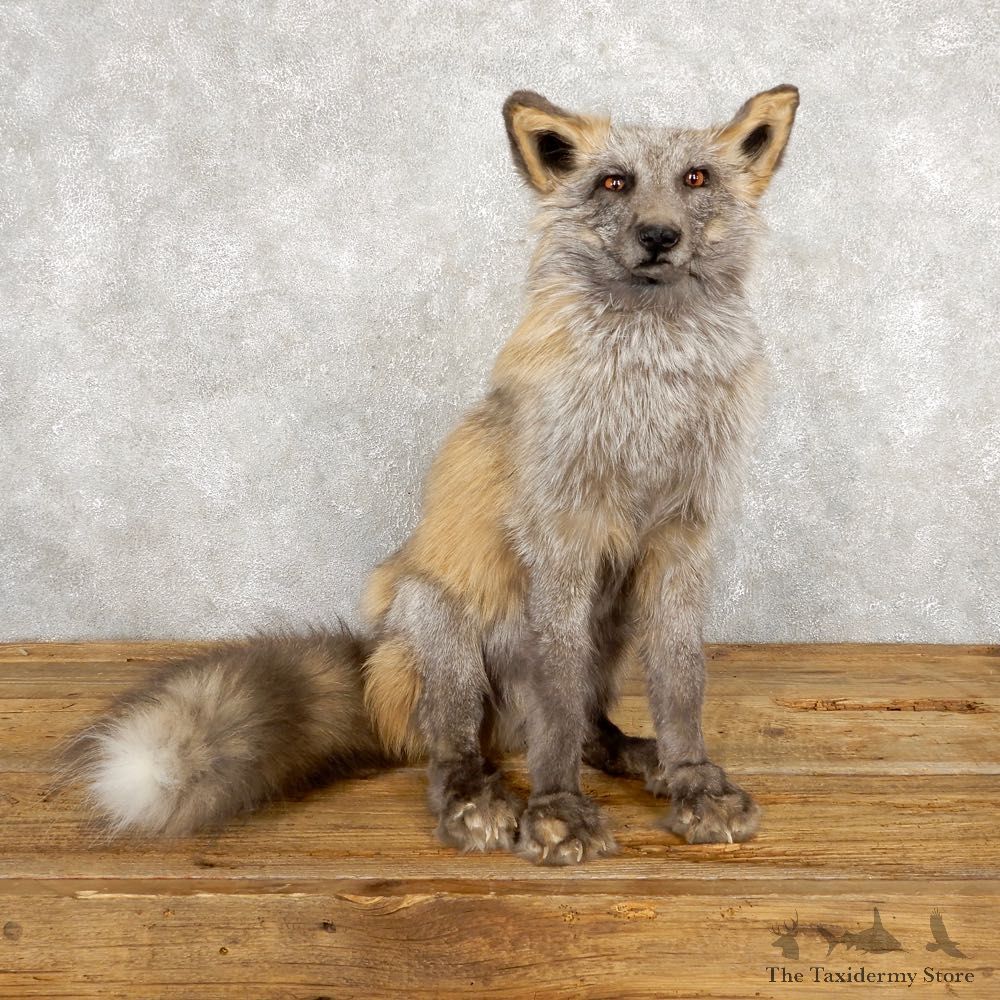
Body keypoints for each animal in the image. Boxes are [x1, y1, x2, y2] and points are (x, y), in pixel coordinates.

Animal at [65, 84, 799, 865]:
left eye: (695, 178)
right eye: (614, 182)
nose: (659, 236)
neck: (652, 392)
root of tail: (373, 671)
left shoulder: (684, 539)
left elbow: (682, 682)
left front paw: (694, 781)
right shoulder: (562, 540)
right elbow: (559, 699)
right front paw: (557, 810)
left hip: (609, 628)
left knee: (588, 728)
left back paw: (639, 755)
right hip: (442, 624)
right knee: (455, 750)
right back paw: (478, 800)